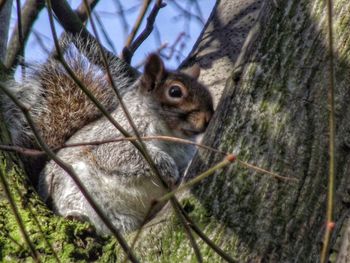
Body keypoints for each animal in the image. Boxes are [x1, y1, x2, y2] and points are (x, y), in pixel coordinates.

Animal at [2, 37, 213, 235]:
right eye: (175, 91)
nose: (208, 118)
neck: (170, 133)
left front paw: (183, 171)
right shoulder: (113, 138)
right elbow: (118, 155)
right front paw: (167, 168)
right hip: (76, 190)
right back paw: (79, 217)